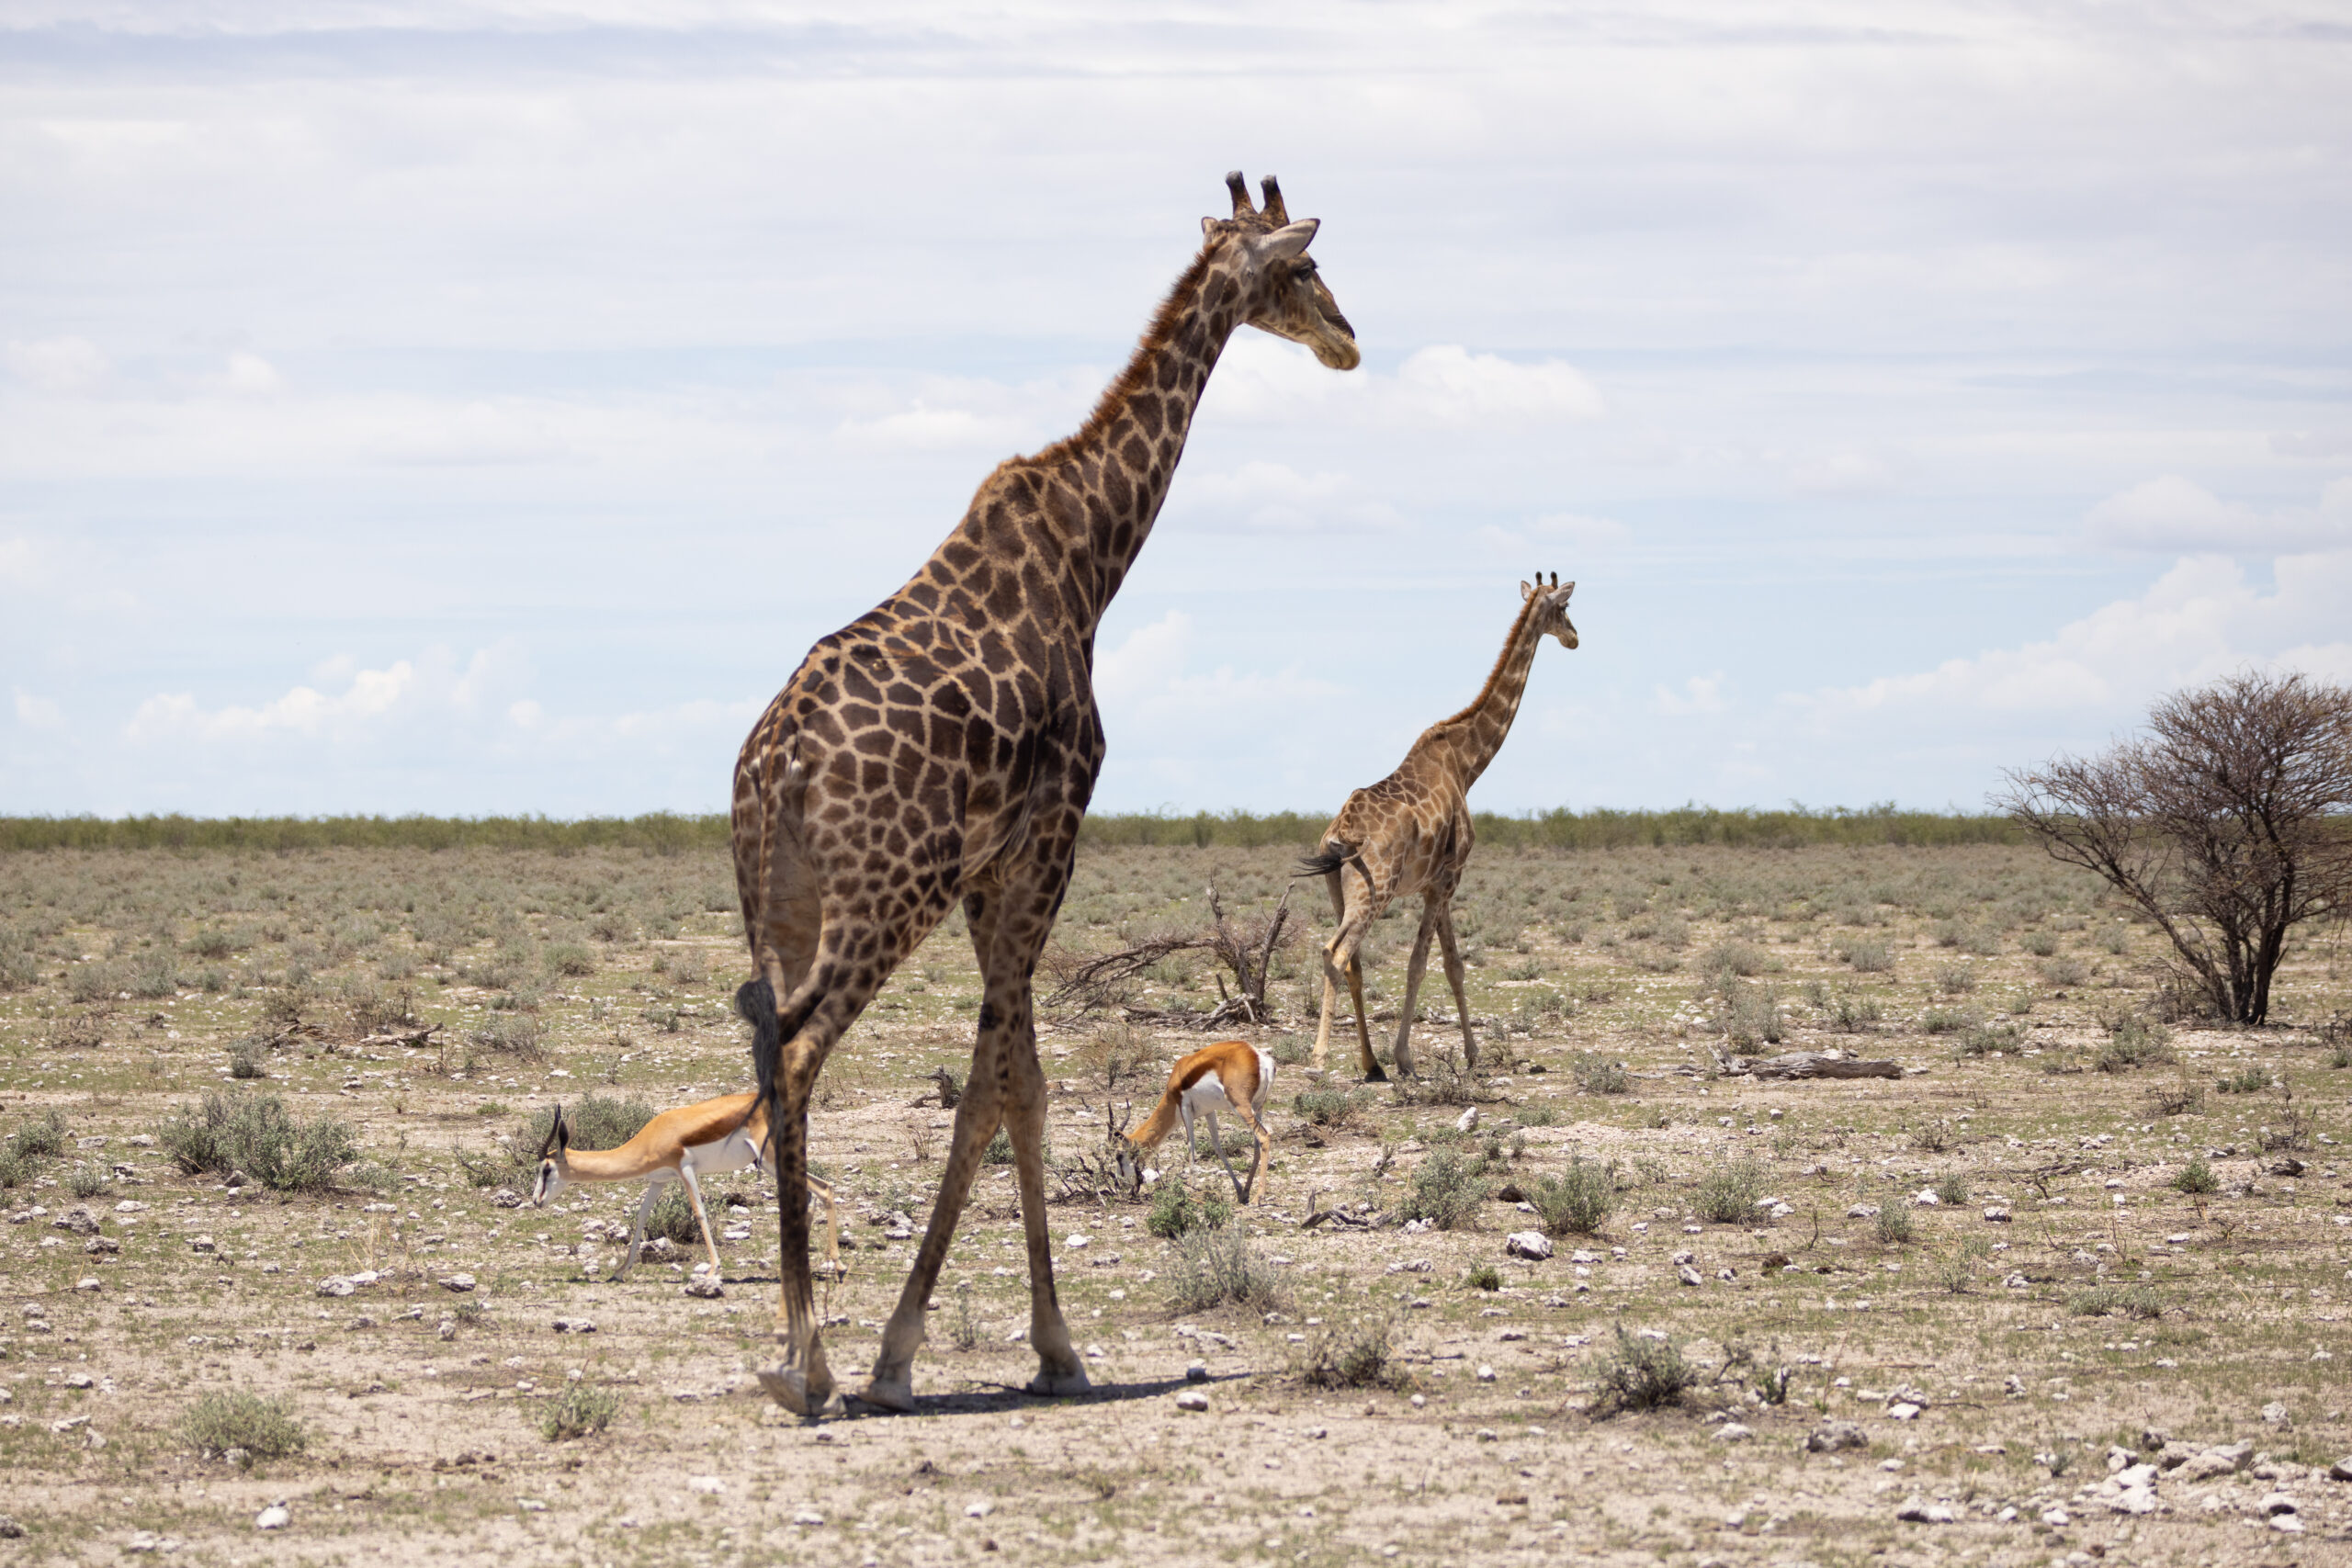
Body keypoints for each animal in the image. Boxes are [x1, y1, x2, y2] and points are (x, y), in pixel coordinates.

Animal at [733, 175, 1363, 1419]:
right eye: (1306, 269)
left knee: (765, 1050)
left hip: (776, 902)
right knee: (798, 1053)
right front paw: (997, 1348)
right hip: (884, 897)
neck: (1091, 558)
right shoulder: (1047, 842)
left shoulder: (993, 872)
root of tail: (772, 766)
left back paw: (793, 1348)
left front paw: (964, 1347)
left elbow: (1010, 1080)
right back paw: (811, 1365)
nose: (1348, 339)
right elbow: (1000, 1089)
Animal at [1307, 576, 1580, 1081]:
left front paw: (1471, 1054)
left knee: (1352, 963)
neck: (1467, 762)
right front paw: (1407, 1057)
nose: (1575, 638)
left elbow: (1453, 965)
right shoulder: (1447, 880)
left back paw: (1370, 1064)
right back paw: (1319, 1061)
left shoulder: (1441, 883)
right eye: (1565, 608)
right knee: (1334, 952)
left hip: (1338, 891)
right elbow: (1420, 964)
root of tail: (1338, 836)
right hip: (1374, 891)